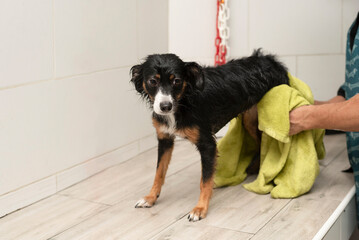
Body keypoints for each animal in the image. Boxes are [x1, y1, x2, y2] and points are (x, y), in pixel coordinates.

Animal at [131, 49, 288, 221]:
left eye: (177, 81)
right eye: (153, 81)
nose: (165, 106)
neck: (184, 101)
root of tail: (269, 59)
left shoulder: (208, 145)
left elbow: (205, 181)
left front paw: (200, 208)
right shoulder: (165, 139)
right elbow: (159, 172)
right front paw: (150, 198)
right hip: (250, 119)